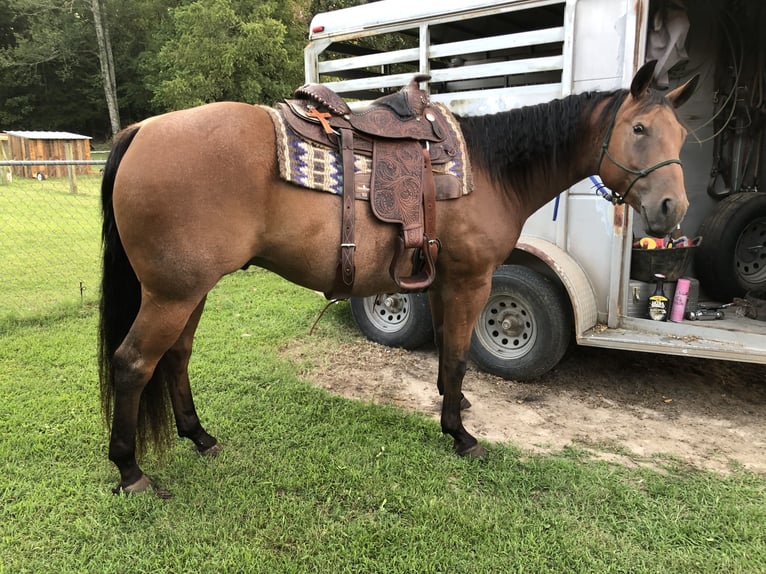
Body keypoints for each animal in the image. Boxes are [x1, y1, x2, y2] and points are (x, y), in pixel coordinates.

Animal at [99, 61, 698, 494]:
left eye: (681, 135)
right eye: (639, 129)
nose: (673, 210)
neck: (490, 169)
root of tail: (142, 131)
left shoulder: (441, 281)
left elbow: (448, 355)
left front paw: (454, 408)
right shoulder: (471, 280)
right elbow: (457, 356)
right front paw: (460, 435)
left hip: (189, 291)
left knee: (175, 357)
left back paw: (199, 436)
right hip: (172, 294)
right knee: (133, 364)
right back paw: (129, 471)